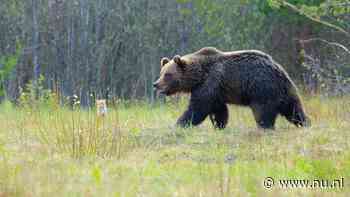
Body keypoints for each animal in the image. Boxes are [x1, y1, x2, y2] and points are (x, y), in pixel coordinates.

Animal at [153, 46, 308, 129]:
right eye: (161, 73)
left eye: (168, 74)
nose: (156, 84)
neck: (199, 76)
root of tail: (277, 69)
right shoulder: (216, 91)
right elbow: (219, 110)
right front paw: (219, 125)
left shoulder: (210, 83)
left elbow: (198, 109)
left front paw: (179, 124)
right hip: (286, 91)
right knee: (294, 110)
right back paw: (305, 123)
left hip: (261, 88)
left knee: (263, 112)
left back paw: (265, 127)